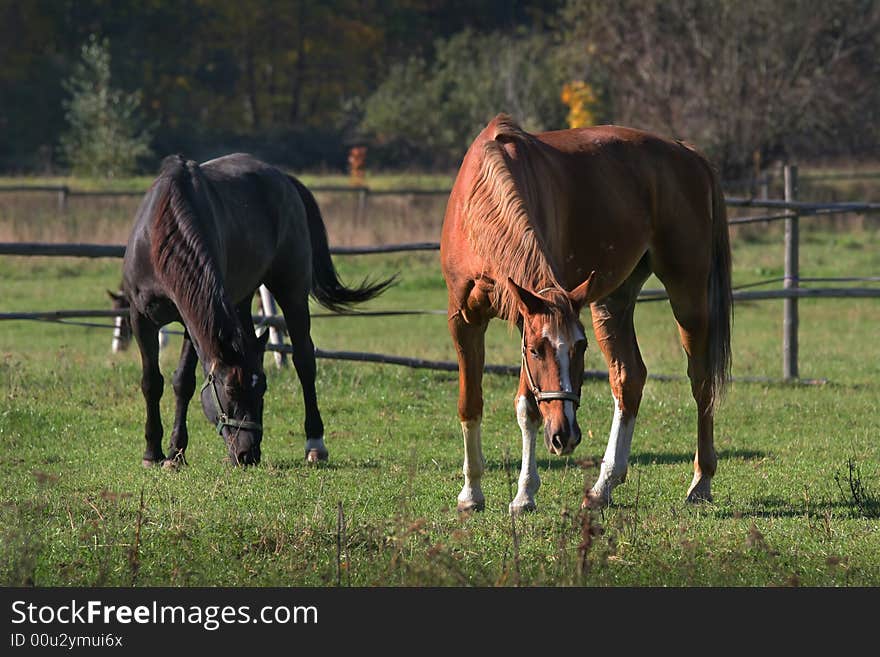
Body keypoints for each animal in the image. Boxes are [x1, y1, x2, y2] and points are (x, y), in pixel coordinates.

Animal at [444, 114, 732, 512]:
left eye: (580, 348)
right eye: (535, 350)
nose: (565, 435)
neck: (481, 202)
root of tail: (688, 152)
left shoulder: (524, 314)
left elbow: (527, 409)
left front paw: (524, 493)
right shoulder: (466, 320)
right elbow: (470, 404)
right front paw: (471, 493)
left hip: (687, 294)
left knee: (701, 380)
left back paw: (701, 481)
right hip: (611, 301)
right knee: (629, 378)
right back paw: (603, 485)